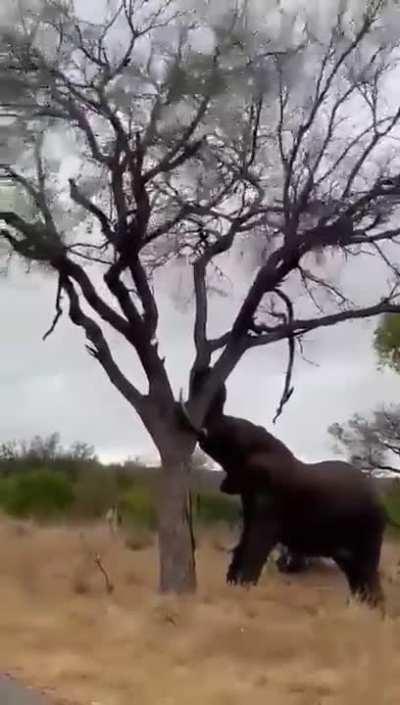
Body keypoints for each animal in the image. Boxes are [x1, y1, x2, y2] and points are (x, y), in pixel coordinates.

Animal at [179, 368, 387, 611]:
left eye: (228, 434)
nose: (204, 371)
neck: (265, 446)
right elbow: (246, 537)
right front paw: (233, 585)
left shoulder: (272, 495)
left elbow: (257, 540)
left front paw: (242, 590)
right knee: (355, 570)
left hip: (369, 525)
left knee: (366, 567)